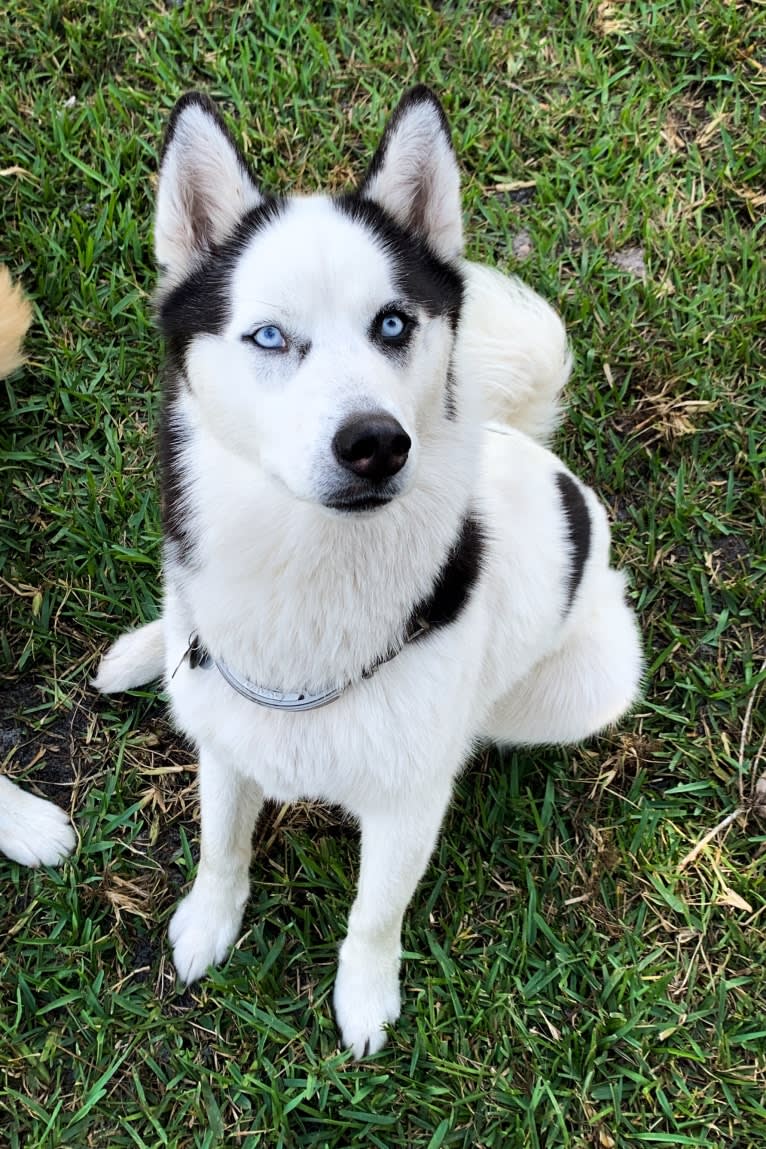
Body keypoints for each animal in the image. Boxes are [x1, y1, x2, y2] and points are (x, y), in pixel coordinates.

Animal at [95, 91, 643, 1057]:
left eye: (393, 322)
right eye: (269, 336)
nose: (377, 443)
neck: (310, 580)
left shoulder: (406, 809)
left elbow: (372, 916)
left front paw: (364, 995)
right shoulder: (225, 742)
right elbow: (221, 845)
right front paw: (210, 920)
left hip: (586, 685)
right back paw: (141, 651)